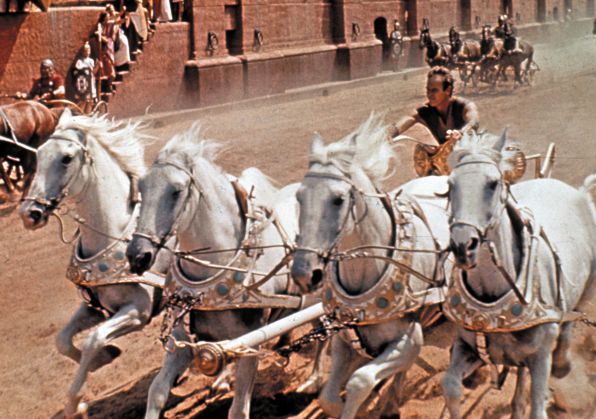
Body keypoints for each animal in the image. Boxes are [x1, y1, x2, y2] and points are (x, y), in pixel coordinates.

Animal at [19, 109, 169, 419]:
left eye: (66, 158)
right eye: (39, 154)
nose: (30, 213)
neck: (114, 234)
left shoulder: (138, 311)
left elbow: (93, 339)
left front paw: (76, 403)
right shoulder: (94, 307)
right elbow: (62, 340)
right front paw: (105, 358)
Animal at [126, 126, 316, 419]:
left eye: (176, 191)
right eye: (141, 188)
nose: (137, 255)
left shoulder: (251, 343)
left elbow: (239, 410)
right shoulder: (180, 342)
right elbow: (156, 392)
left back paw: (314, 382)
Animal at [290, 115, 452, 419]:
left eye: (338, 199)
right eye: (299, 197)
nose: (304, 274)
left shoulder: (409, 341)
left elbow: (360, 381)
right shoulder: (344, 339)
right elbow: (328, 398)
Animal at [442, 130, 596, 418]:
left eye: (493, 183)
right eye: (449, 185)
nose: (463, 246)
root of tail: (579, 193)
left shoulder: (540, 357)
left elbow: (537, 408)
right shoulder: (467, 347)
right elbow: (451, 387)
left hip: (587, 288)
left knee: (572, 317)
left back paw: (562, 363)